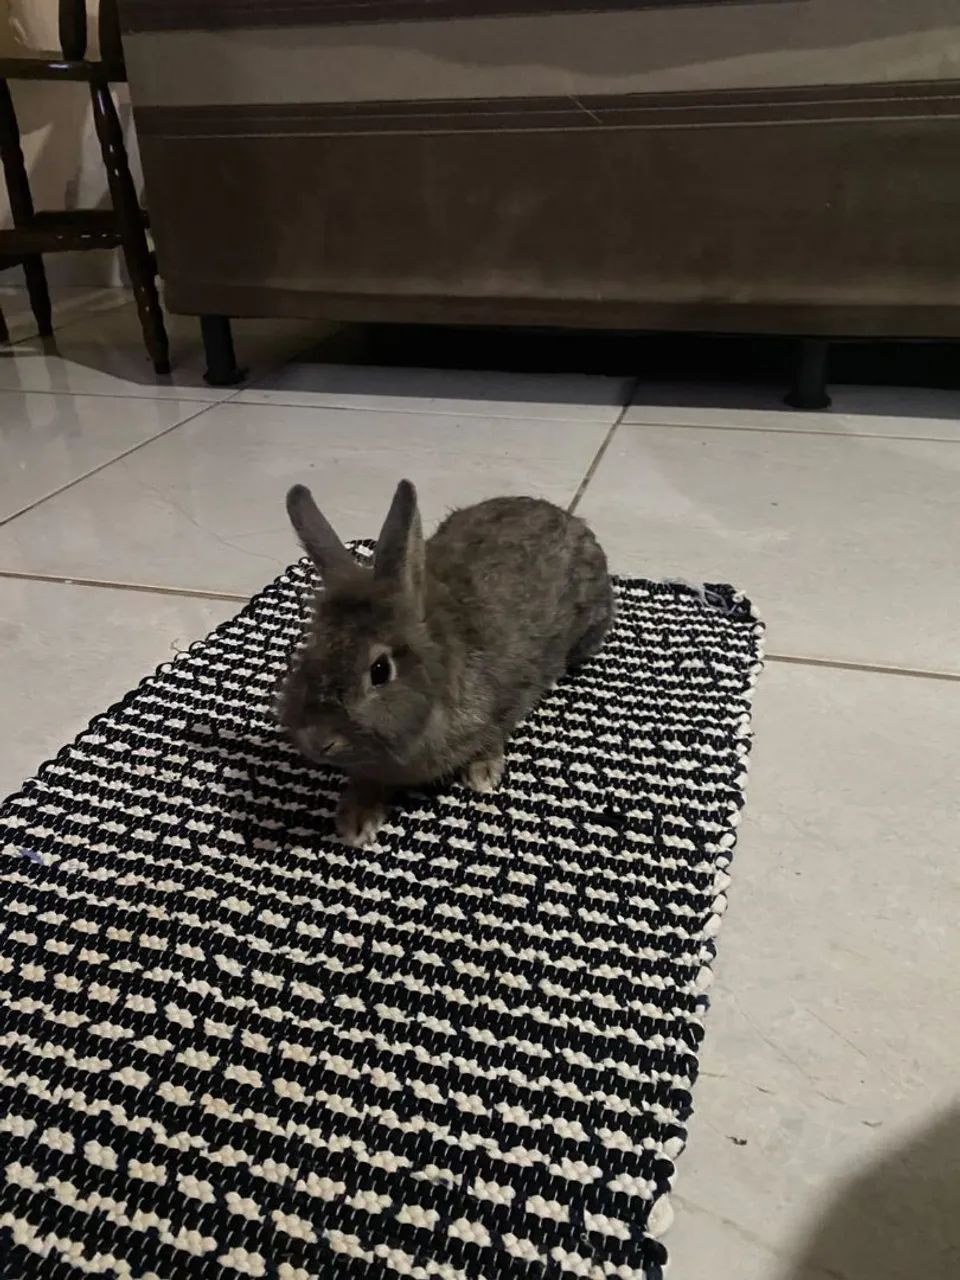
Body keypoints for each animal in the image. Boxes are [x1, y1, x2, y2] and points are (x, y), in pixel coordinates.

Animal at [278, 479, 613, 847]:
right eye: (309, 652)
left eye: (380, 670)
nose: (317, 741)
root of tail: (568, 517)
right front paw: (356, 820)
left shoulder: (509, 695)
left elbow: (494, 734)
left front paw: (483, 773)